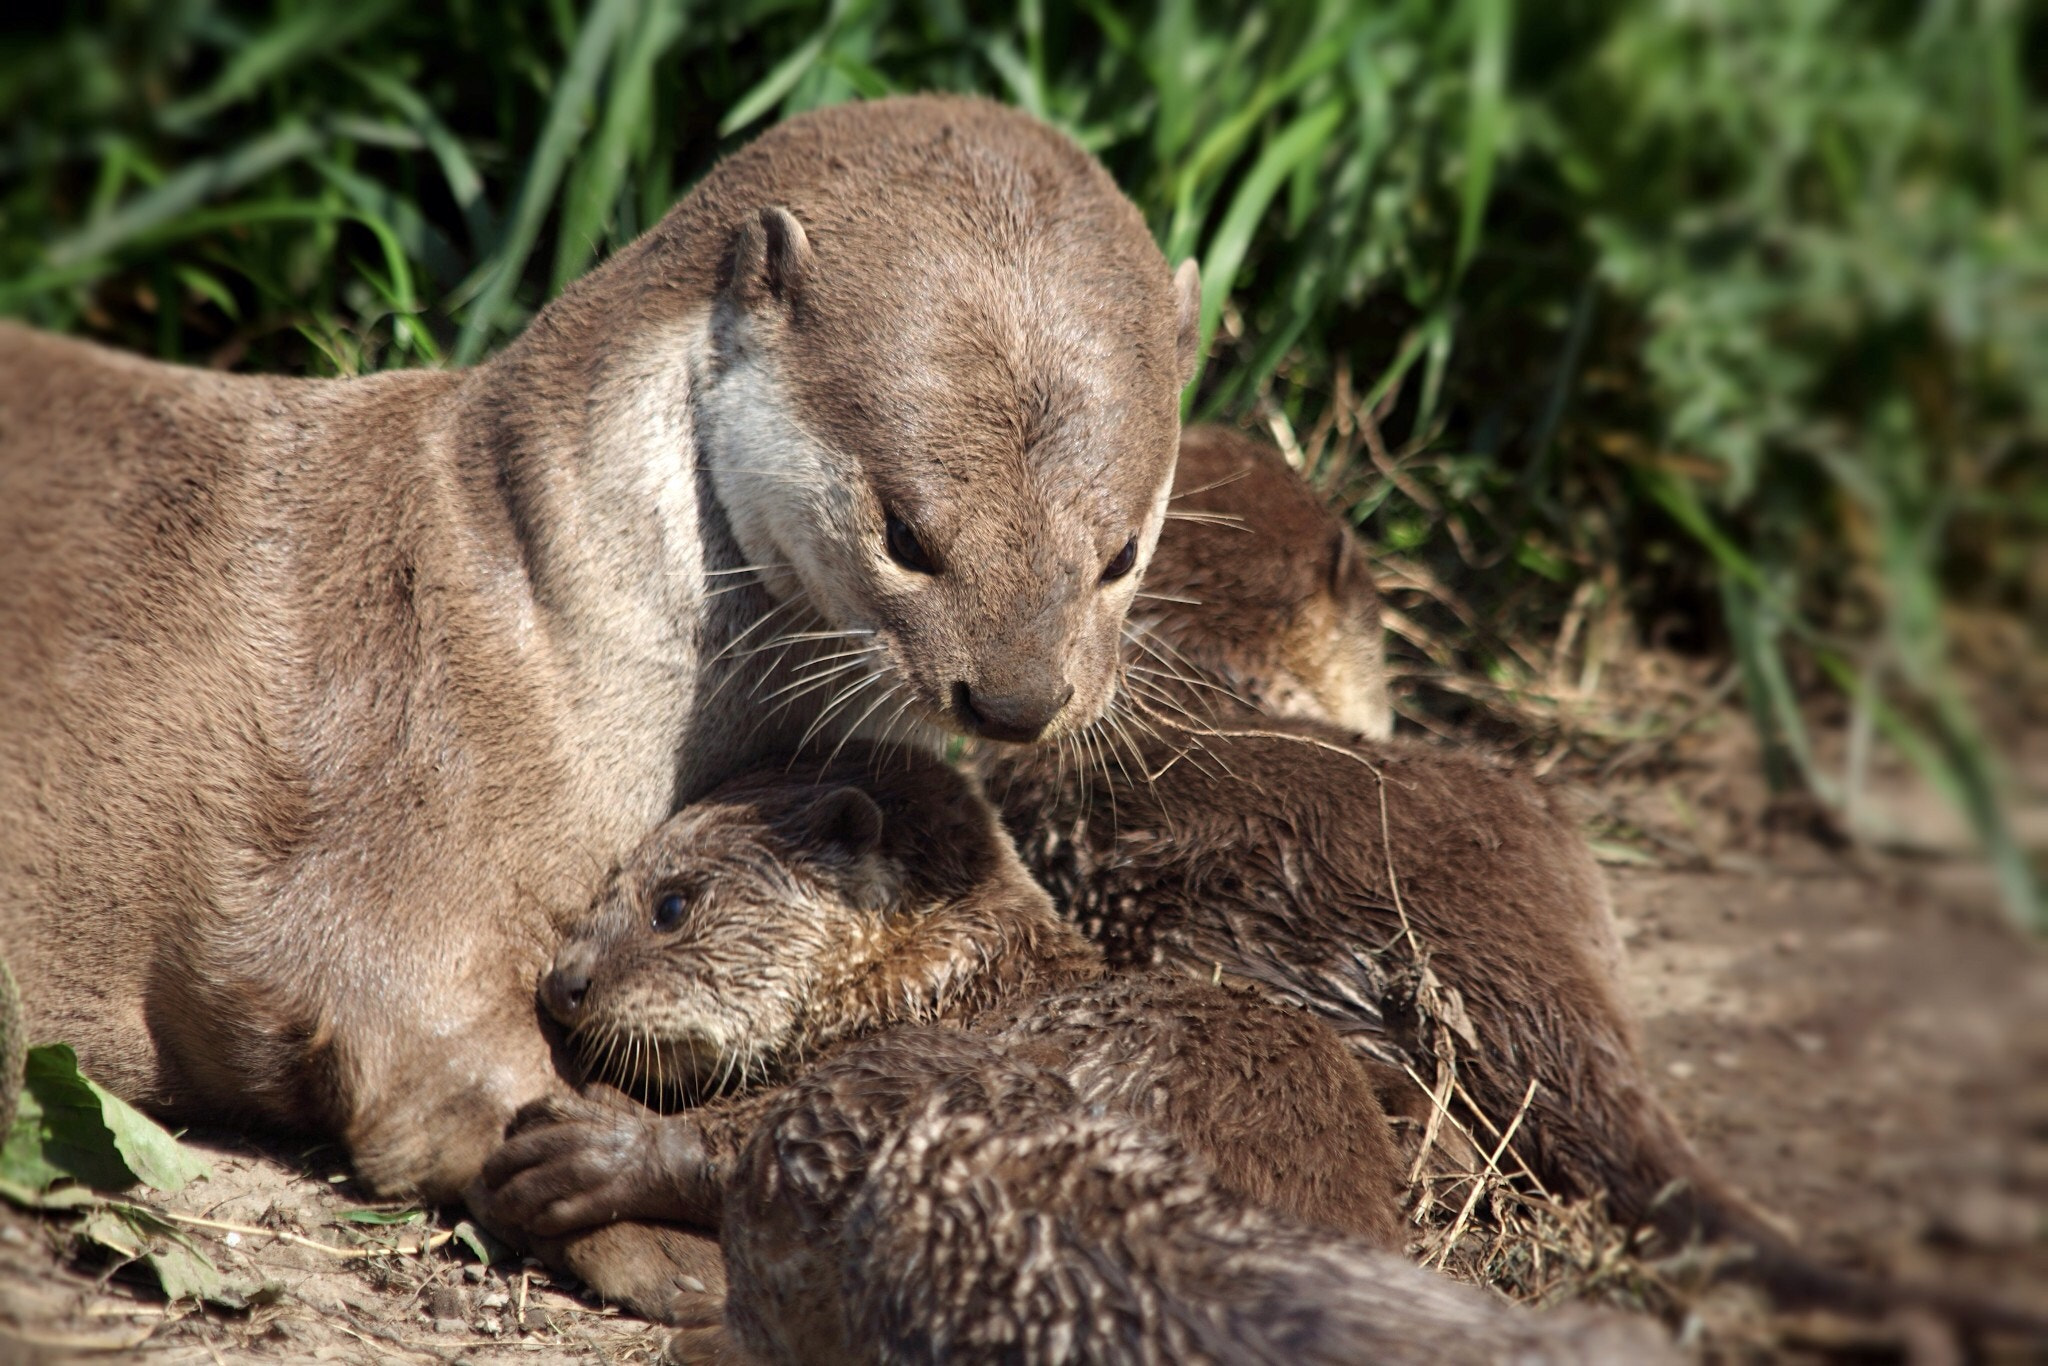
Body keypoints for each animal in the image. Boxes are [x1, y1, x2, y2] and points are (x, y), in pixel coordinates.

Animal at [0, 95, 1199, 1315]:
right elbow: (450, 1059)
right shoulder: (389, 877)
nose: (1015, 697)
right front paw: (676, 1236)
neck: (541, 641)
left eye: (1121, 553)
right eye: (906, 535)